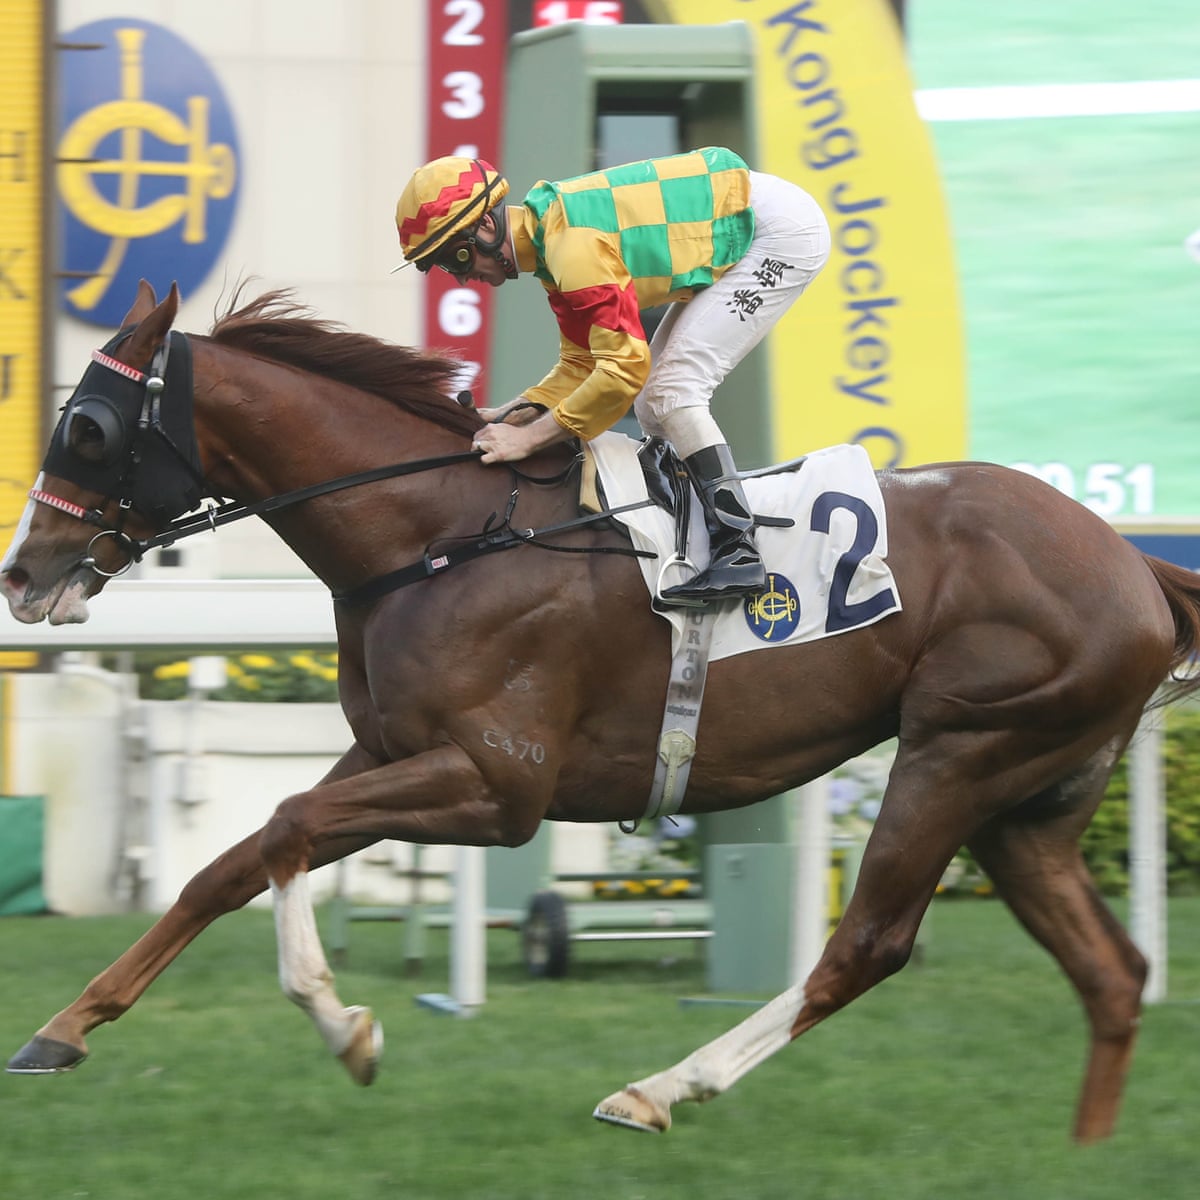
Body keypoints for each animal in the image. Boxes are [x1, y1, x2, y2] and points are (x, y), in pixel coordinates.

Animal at [4, 279, 1200, 1145]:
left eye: (90, 430)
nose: (23, 574)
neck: (441, 531)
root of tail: (1131, 560)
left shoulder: (498, 785)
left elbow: (287, 828)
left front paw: (343, 1026)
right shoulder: (391, 752)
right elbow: (231, 862)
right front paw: (63, 1029)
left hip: (961, 751)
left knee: (867, 943)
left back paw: (661, 1090)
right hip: (1028, 803)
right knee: (1111, 974)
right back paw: (1085, 1151)